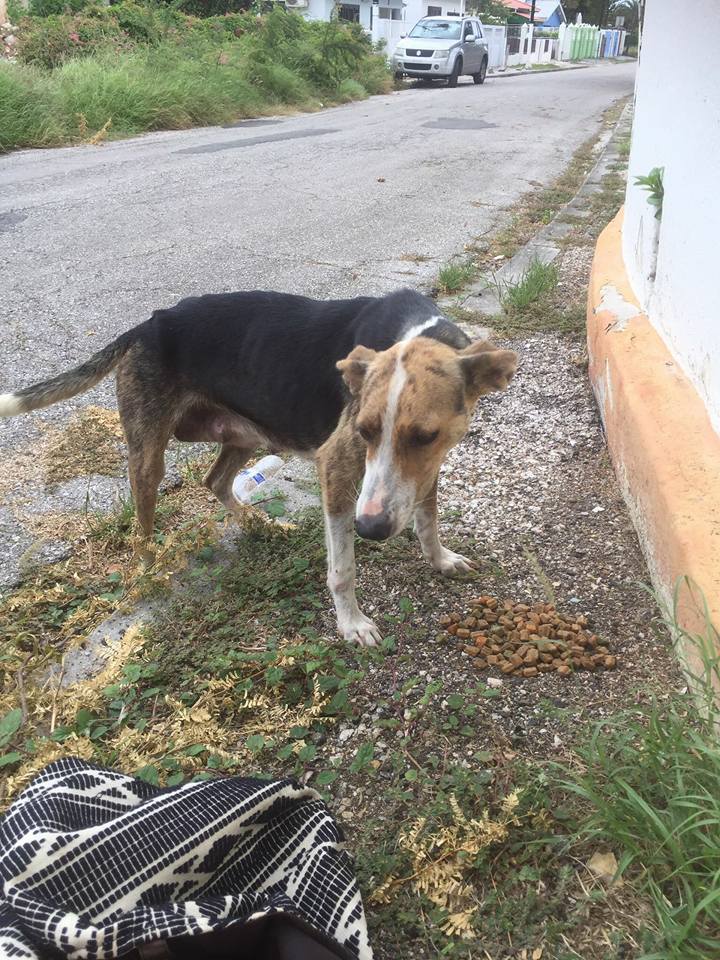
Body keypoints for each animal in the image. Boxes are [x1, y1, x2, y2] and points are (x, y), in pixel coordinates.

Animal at [0, 288, 517, 646]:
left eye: (425, 436)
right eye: (365, 430)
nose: (370, 529)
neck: (416, 332)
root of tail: (147, 325)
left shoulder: (427, 468)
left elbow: (427, 518)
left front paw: (441, 559)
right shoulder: (337, 469)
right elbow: (343, 569)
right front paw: (351, 624)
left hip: (246, 433)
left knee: (215, 480)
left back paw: (259, 523)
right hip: (148, 455)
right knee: (143, 524)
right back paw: (148, 569)